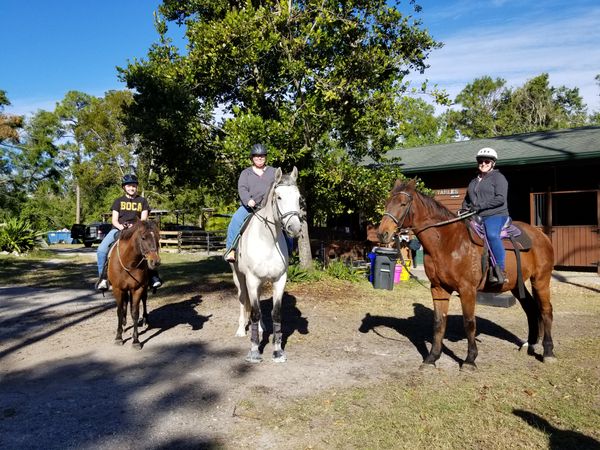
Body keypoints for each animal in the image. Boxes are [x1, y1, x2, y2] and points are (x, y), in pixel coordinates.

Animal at [106, 218, 161, 348]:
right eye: (143, 238)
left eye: (158, 237)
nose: (155, 261)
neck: (128, 262)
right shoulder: (118, 289)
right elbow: (120, 311)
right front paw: (119, 337)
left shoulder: (137, 289)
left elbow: (135, 312)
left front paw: (136, 340)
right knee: (125, 304)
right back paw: (124, 323)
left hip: (143, 288)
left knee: (144, 300)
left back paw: (145, 319)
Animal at [231, 167, 302, 364]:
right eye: (279, 197)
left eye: (299, 197)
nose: (295, 228)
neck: (268, 241)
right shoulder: (251, 279)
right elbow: (254, 313)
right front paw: (255, 350)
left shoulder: (280, 280)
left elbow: (275, 313)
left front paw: (278, 351)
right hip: (239, 278)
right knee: (243, 300)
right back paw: (241, 330)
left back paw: (262, 328)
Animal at [378, 179, 556, 370]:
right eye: (386, 203)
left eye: (403, 204)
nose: (382, 233)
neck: (448, 242)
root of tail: (542, 236)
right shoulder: (438, 288)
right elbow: (439, 323)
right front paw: (432, 358)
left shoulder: (467, 290)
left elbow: (469, 322)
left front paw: (470, 359)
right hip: (517, 284)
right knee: (531, 308)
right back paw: (530, 344)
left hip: (541, 280)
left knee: (546, 310)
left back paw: (548, 352)